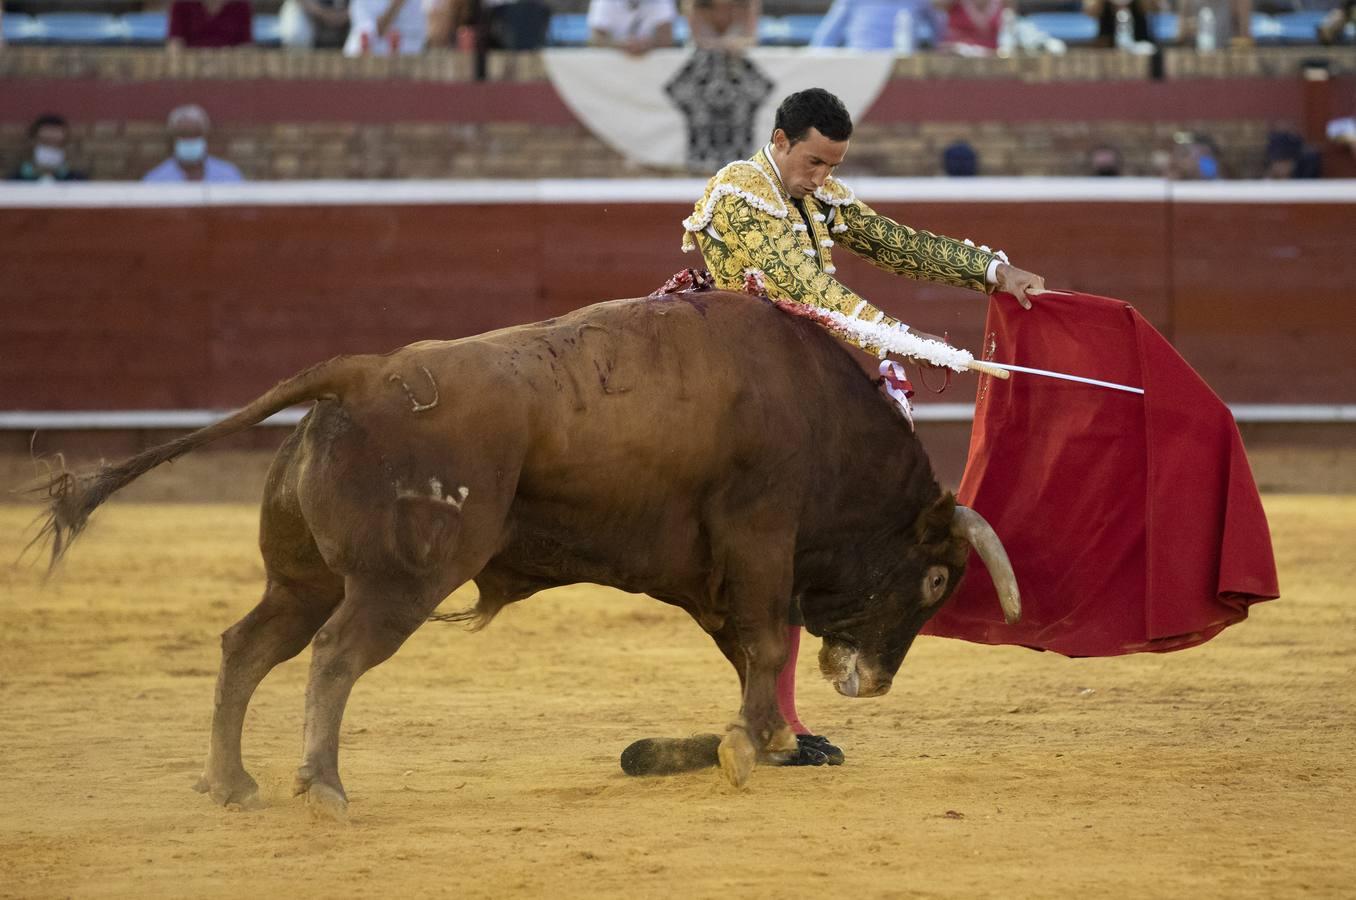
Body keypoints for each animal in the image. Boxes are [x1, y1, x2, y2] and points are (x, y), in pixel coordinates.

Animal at [31, 290, 1019, 824]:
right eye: (936, 577)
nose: (874, 683)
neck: (817, 414)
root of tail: (360, 373)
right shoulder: (758, 535)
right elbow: (767, 643)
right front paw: (757, 744)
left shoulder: (706, 573)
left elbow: (747, 651)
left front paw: (763, 739)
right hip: (399, 583)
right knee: (335, 656)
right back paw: (325, 786)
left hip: (303, 579)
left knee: (248, 645)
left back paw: (232, 783)